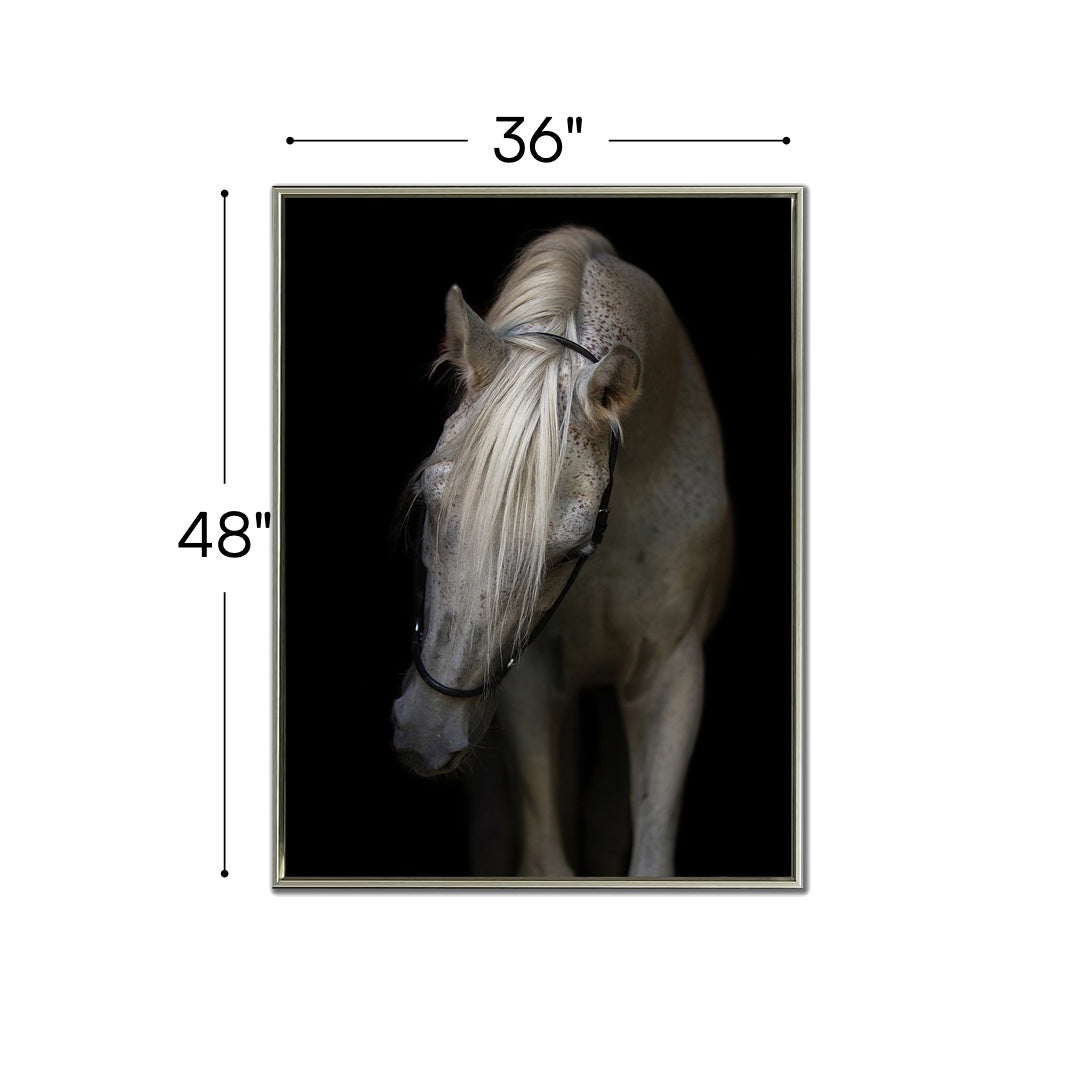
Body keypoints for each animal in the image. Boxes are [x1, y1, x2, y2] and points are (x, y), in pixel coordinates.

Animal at [391, 225, 733, 878]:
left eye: (572, 547)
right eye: (428, 501)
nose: (425, 733)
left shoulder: (671, 675)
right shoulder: (531, 679)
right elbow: (545, 859)